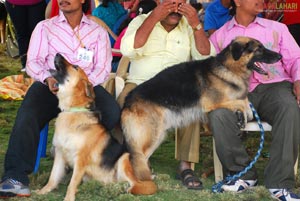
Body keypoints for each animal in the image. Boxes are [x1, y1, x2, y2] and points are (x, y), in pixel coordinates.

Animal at [36, 53, 156, 201]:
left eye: (75, 67)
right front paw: (43, 191)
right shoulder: (59, 154)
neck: (74, 110)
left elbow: (72, 182)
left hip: (124, 158)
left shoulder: (80, 159)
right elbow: (52, 178)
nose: (58, 54)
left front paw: (69, 198)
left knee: (139, 185)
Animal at [120, 37, 282, 181]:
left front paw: (243, 114)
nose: (280, 56)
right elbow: (240, 102)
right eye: (259, 49)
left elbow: (244, 99)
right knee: (135, 158)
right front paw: (246, 111)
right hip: (154, 135)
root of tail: (128, 99)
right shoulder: (213, 103)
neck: (228, 67)